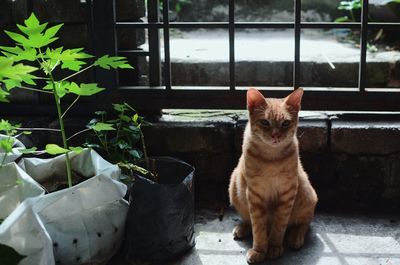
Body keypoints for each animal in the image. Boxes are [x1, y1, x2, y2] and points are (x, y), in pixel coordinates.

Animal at [228, 87, 318, 262]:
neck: (271, 158)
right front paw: (259, 250)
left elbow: (280, 224)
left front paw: (274, 246)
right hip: (234, 186)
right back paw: (242, 228)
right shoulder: (254, 194)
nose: (276, 135)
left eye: (285, 123)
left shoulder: (287, 193)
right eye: (265, 122)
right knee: (249, 219)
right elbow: (258, 227)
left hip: (306, 192)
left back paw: (295, 236)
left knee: (305, 222)